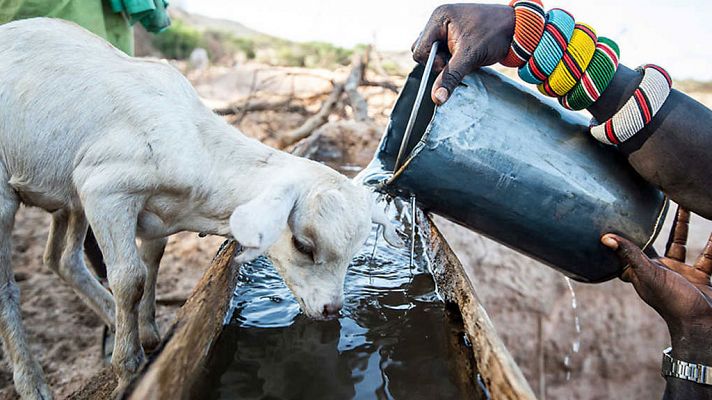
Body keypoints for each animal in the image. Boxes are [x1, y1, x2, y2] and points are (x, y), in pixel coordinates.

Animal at [0, 18, 400, 396]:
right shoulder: (105, 191)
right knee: (11, 285)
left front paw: (148, 332)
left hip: (66, 193)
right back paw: (33, 383)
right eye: (303, 245)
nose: (332, 309)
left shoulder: (146, 210)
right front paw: (129, 369)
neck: (195, 144)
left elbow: (152, 262)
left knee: (61, 258)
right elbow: (130, 279)